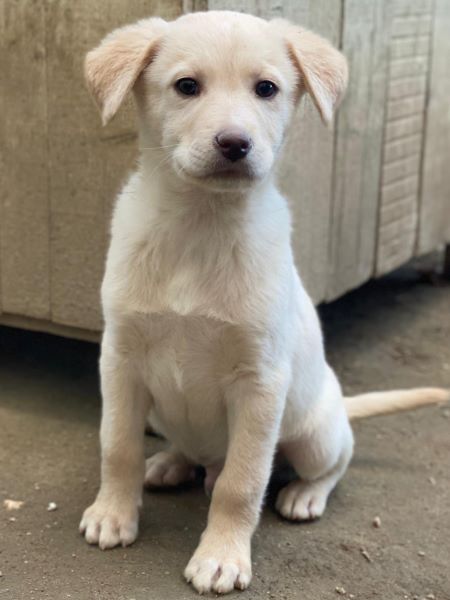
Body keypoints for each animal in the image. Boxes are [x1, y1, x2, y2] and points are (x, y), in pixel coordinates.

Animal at [80, 11, 449, 594]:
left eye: (267, 89)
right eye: (187, 86)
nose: (235, 143)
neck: (200, 226)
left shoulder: (260, 382)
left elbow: (242, 482)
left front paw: (221, 556)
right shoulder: (120, 359)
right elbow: (116, 445)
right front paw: (114, 514)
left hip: (313, 434)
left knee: (332, 460)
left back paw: (304, 494)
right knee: (194, 453)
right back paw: (170, 462)